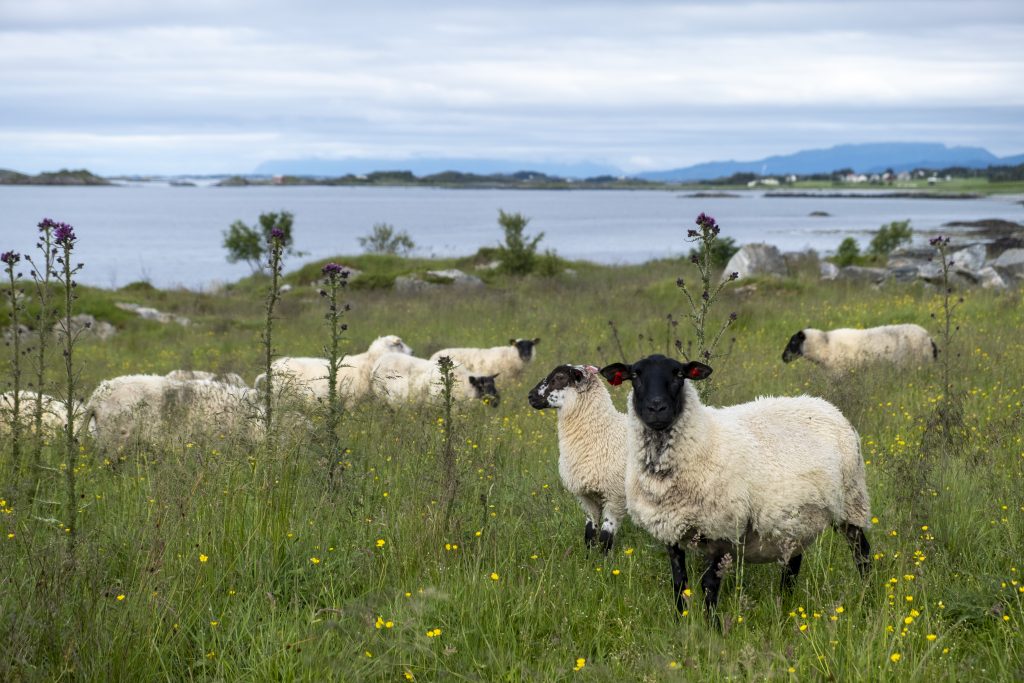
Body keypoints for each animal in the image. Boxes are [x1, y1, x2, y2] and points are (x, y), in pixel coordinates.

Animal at [532, 366, 626, 552]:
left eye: (560, 377)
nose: (530, 396)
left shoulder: (615, 496)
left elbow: (606, 536)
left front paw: (604, 559)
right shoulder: (586, 496)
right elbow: (589, 532)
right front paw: (589, 557)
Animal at [598, 352, 872, 618]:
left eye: (679, 374)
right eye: (635, 375)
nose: (657, 408)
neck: (702, 439)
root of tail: (826, 405)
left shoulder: (724, 526)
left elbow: (709, 584)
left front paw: (712, 627)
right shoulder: (670, 529)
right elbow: (679, 583)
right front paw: (681, 622)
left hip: (852, 501)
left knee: (862, 554)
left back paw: (867, 598)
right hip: (796, 518)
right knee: (792, 565)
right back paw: (785, 606)